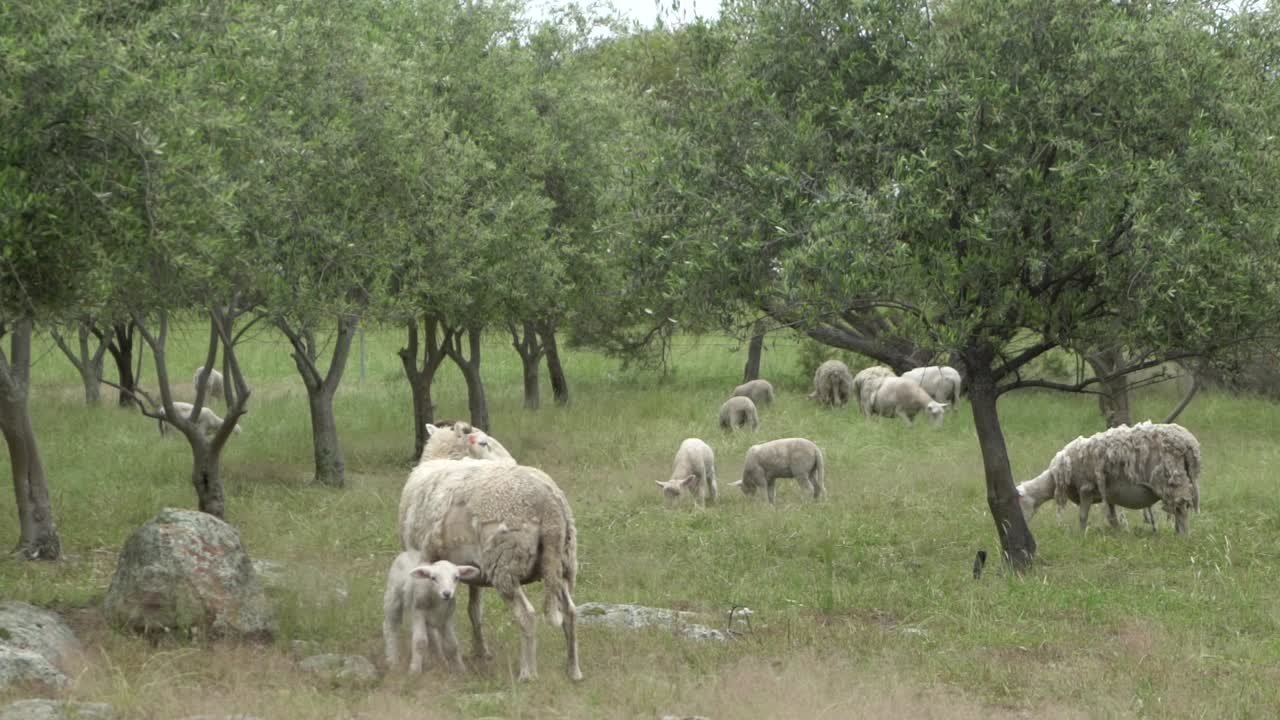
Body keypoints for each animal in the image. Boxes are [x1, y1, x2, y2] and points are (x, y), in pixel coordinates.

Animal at [399, 423, 581, 682]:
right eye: (483, 442)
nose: (512, 460)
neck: (443, 457)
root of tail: (550, 505)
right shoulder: (472, 570)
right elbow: (474, 611)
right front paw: (481, 651)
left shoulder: (424, 558)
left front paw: (436, 657)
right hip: (561, 563)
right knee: (571, 613)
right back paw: (573, 671)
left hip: (505, 563)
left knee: (527, 616)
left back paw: (528, 673)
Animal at [1015, 421, 1201, 535]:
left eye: (1019, 503)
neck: (1054, 477)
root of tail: (1189, 443)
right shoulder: (1108, 493)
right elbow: (1112, 518)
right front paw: (1119, 534)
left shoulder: (1086, 487)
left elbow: (1083, 516)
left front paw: (1080, 536)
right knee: (1179, 507)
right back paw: (1178, 532)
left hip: (1171, 478)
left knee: (1181, 508)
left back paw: (1183, 536)